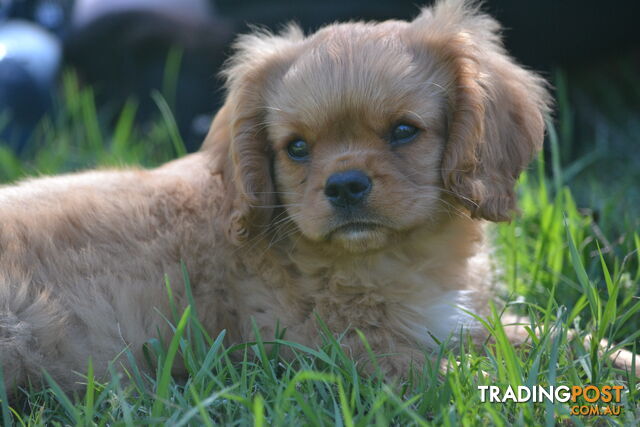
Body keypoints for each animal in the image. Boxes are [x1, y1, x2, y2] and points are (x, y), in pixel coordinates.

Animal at [0, 0, 576, 394]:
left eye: (403, 132)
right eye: (297, 148)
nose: (344, 184)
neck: (398, 256)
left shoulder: (454, 319)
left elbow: (530, 334)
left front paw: (593, 353)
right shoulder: (340, 350)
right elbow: (456, 375)